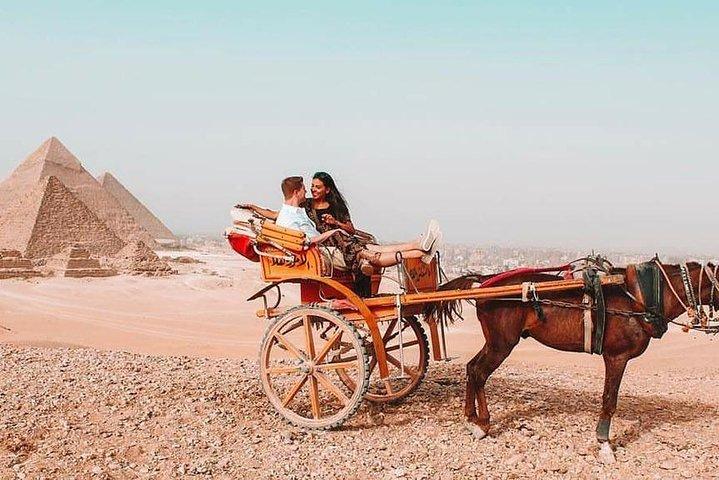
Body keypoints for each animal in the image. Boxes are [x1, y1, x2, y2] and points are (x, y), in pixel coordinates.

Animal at [426, 260, 719, 462]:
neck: (641, 297)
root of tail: (486, 281)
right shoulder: (616, 356)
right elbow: (609, 399)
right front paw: (604, 444)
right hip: (502, 343)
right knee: (478, 372)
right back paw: (482, 424)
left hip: (495, 342)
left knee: (471, 368)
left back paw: (472, 418)